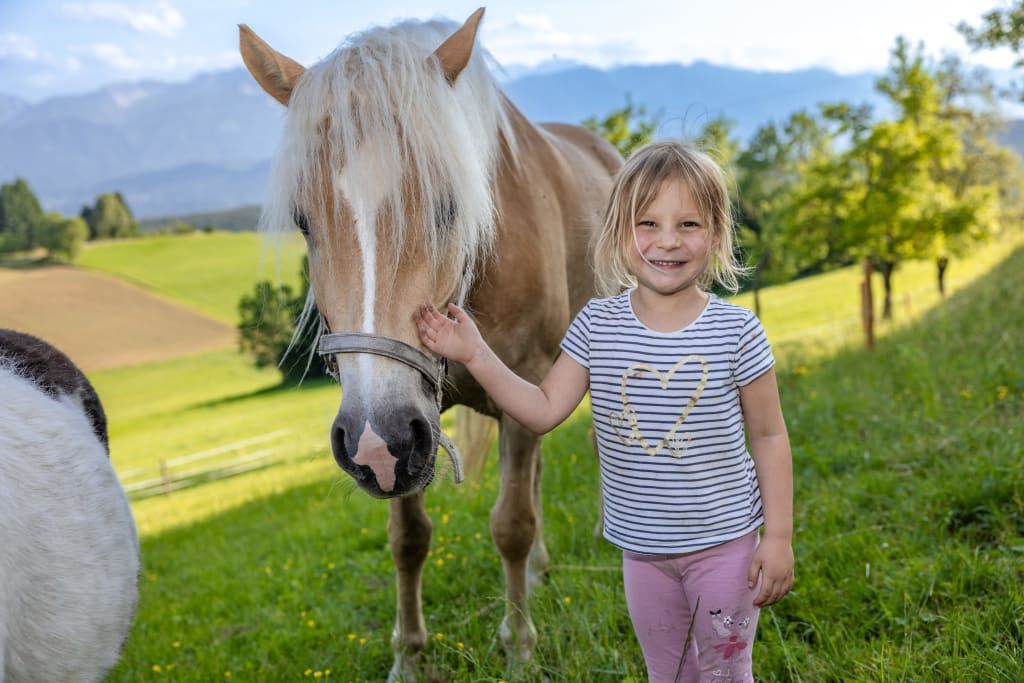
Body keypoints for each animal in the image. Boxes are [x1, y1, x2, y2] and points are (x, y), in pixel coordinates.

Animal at [240, 8, 620, 678]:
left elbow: (511, 524)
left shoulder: (517, 385)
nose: (371, 437)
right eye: (304, 222)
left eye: (449, 206)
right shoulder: (413, 426)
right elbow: (408, 540)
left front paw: (519, 649)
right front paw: (410, 657)